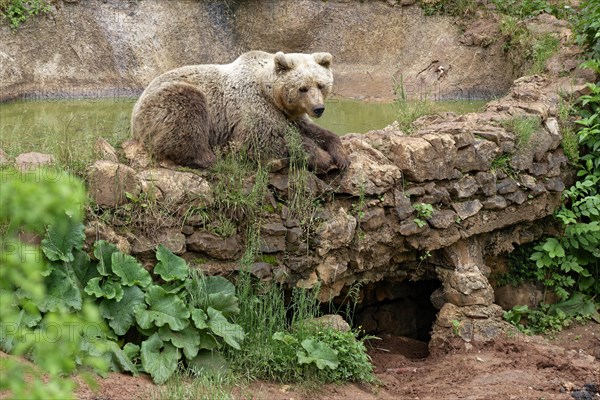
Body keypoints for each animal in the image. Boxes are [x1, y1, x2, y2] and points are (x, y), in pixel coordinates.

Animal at [129, 50, 350, 173]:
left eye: (321, 85)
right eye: (303, 88)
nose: (318, 108)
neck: (269, 93)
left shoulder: (290, 114)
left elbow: (313, 130)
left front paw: (341, 156)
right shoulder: (251, 106)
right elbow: (265, 137)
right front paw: (322, 158)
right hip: (163, 102)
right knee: (187, 111)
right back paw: (210, 158)